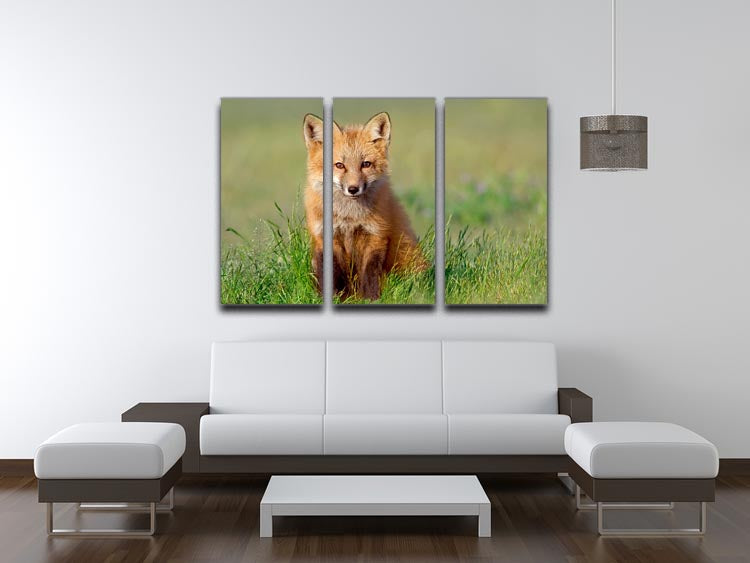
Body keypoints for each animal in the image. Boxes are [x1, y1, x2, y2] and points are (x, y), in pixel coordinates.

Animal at [303, 112, 426, 300]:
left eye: (366, 164)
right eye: (339, 165)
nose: (353, 189)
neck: (349, 217)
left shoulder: (376, 235)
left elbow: (369, 272)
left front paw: (370, 299)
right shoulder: (325, 237)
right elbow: (333, 275)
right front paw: (335, 298)